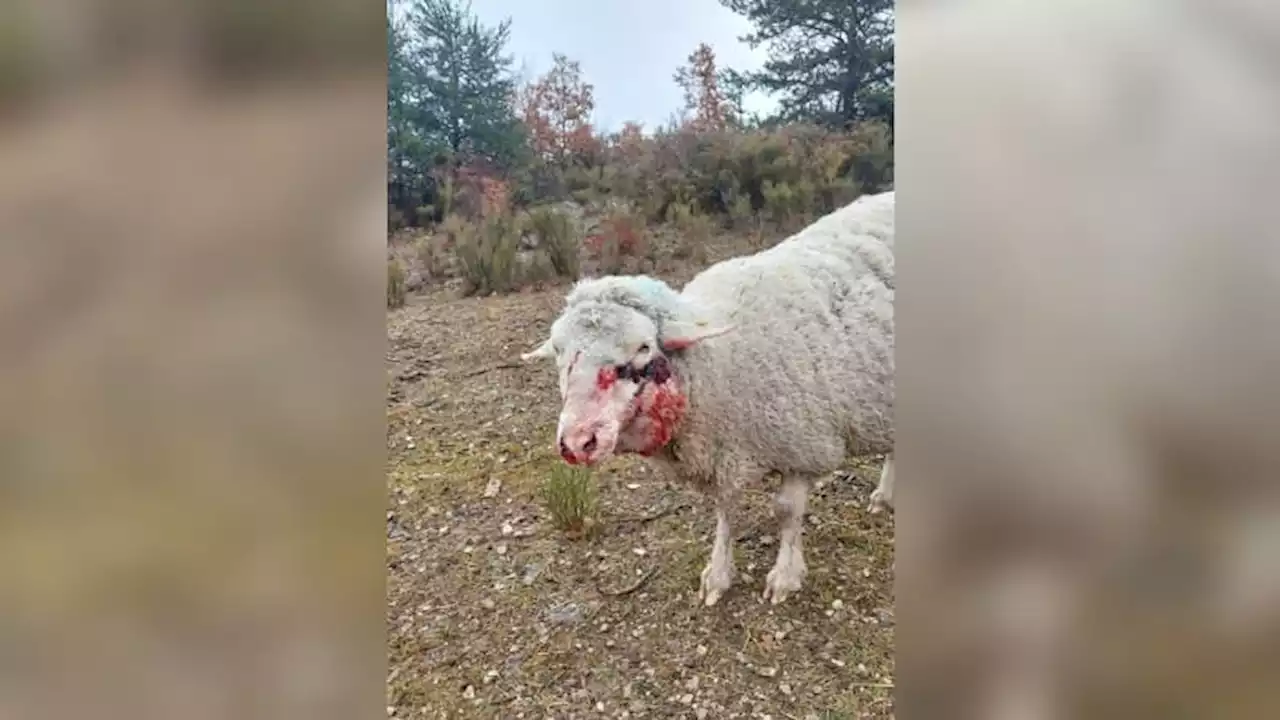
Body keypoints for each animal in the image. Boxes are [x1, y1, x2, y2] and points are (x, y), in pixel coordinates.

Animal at [524, 188, 896, 602]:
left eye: (643, 347)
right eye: (559, 353)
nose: (577, 442)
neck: (719, 361)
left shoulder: (803, 444)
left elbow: (786, 511)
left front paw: (784, 577)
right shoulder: (725, 451)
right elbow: (724, 509)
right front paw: (717, 574)